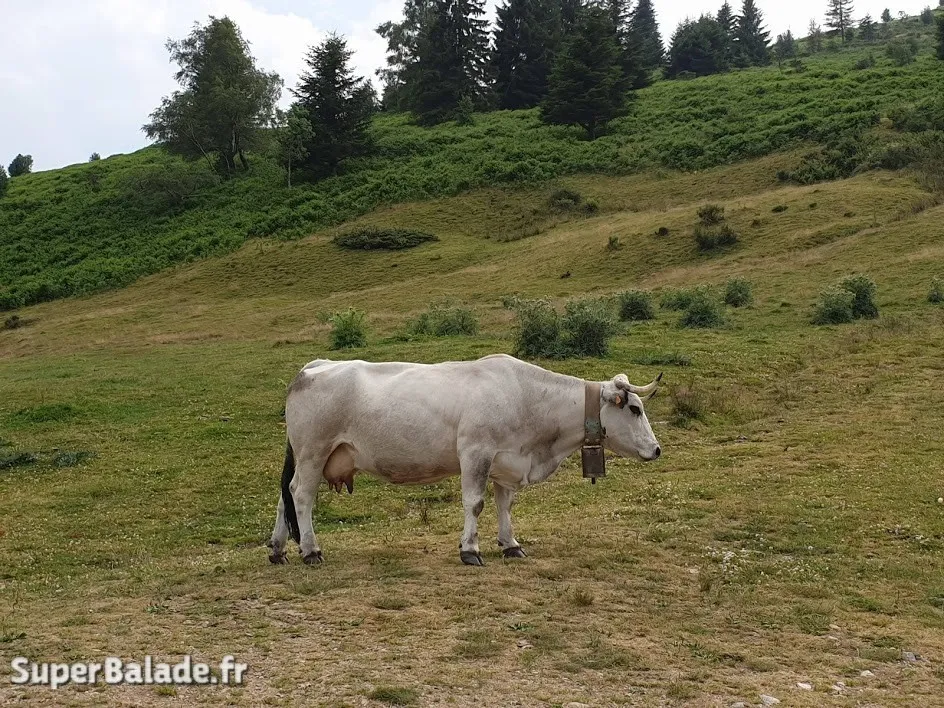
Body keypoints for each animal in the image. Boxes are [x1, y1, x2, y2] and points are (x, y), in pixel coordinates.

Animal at [268, 354, 662, 566]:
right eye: (635, 409)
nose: (657, 450)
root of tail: (313, 367)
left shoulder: (507, 460)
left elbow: (505, 505)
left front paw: (510, 544)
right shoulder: (475, 452)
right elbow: (475, 503)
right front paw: (470, 550)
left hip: (306, 455)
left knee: (284, 496)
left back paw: (278, 549)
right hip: (314, 450)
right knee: (301, 496)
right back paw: (310, 550)